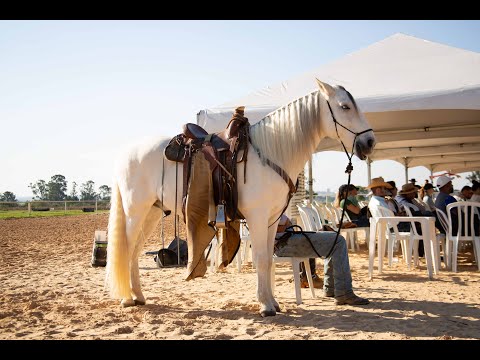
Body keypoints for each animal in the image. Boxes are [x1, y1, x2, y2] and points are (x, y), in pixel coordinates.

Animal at [105, 79, 376, 318]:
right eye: (345, 106)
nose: (369, 141)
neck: (270, 153)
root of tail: (125, 153)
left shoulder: (271, 221)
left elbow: (267, 261)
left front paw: (273, 303)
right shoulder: (257, 217)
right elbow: (260, 259)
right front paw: (265, 307)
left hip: (151, 212)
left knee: (134, 251)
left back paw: (138, 297)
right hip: (135, 211)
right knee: (127, 248)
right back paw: (127, 299)